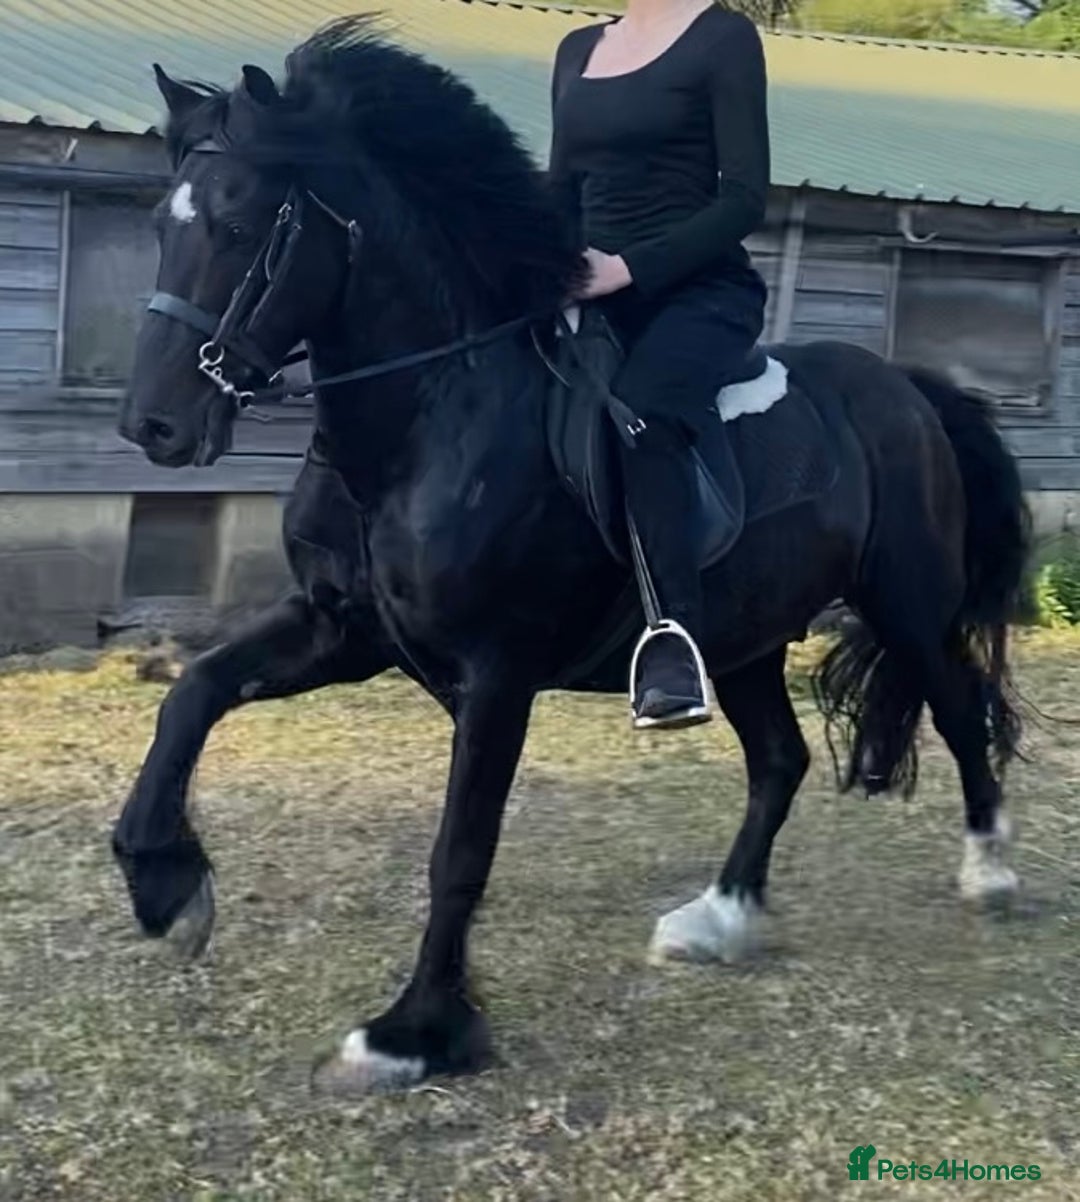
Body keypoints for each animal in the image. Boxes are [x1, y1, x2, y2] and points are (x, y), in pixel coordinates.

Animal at [114, 17, 1029, 1094]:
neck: (433, 415)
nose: (154, 425)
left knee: (959, 709)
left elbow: (460, 848)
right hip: (744, 640)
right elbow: (195, 691)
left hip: (906, 602)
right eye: (159, 221)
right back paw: (718, 918)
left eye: (242, 221)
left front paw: (414, 1031)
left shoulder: (497, 673)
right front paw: (164, 883)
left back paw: (991, 870)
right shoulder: (345, 631)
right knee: (781, 759)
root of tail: (906, 387)